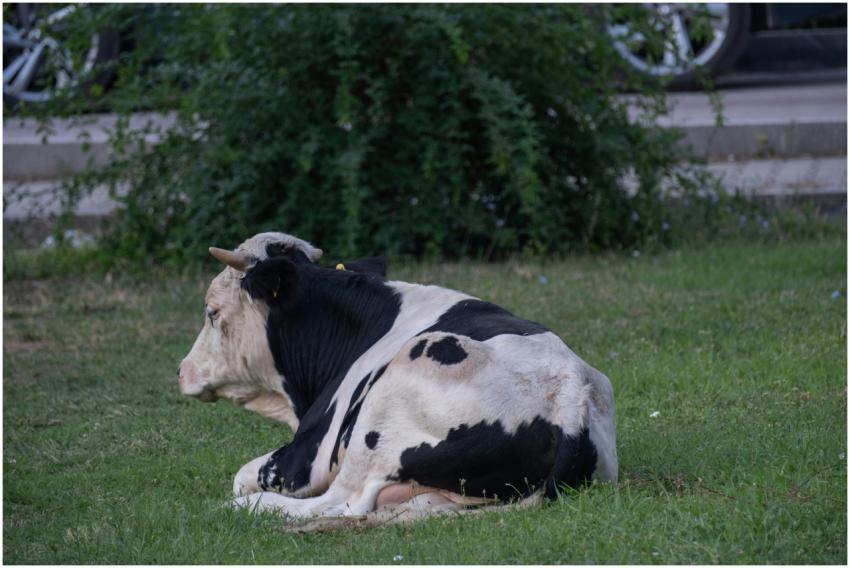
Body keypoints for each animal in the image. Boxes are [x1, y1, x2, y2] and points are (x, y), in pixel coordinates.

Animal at [178, 232, 617, 525]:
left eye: (211, 311)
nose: (182, 371)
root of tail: (571, 397)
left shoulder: (306, 459)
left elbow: (243, 476)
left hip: (380, 418)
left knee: (338, 503)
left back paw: (243, 509)